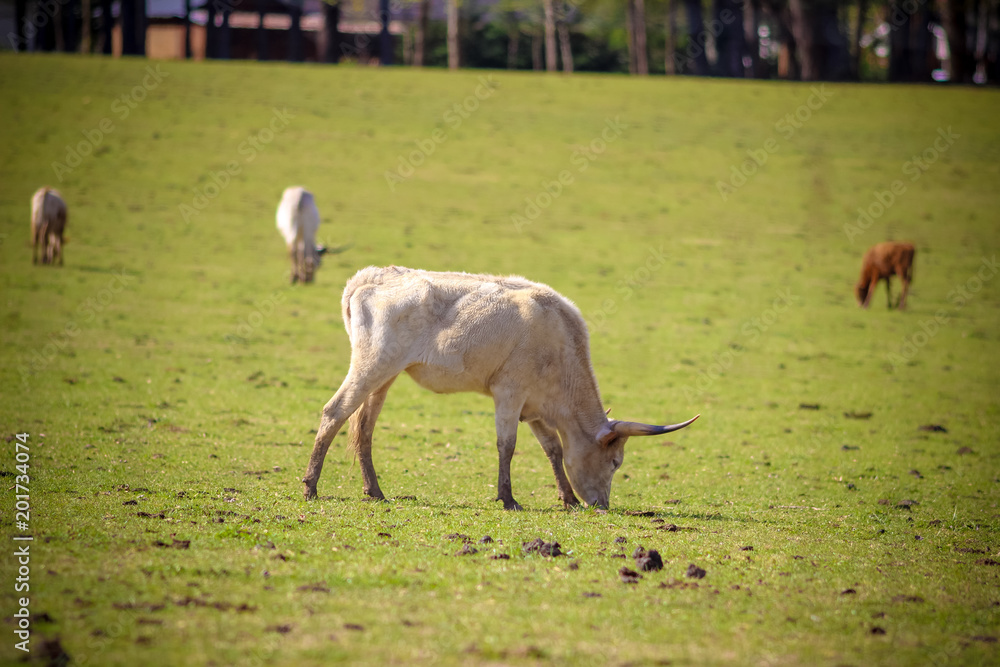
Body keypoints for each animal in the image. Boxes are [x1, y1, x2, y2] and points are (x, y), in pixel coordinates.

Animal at [301, 266, 699, 510]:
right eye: (615, 462)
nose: (602, 504)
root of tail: (369, 277)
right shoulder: (510, 391)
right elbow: (506, 444)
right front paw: (508, 498)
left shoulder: (535, 408)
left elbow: (553, 449)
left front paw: (567, 498)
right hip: (371, 366)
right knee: (335, 412)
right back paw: (311, 486)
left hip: (385, 377)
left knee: (363, 428)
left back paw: (375, 492)